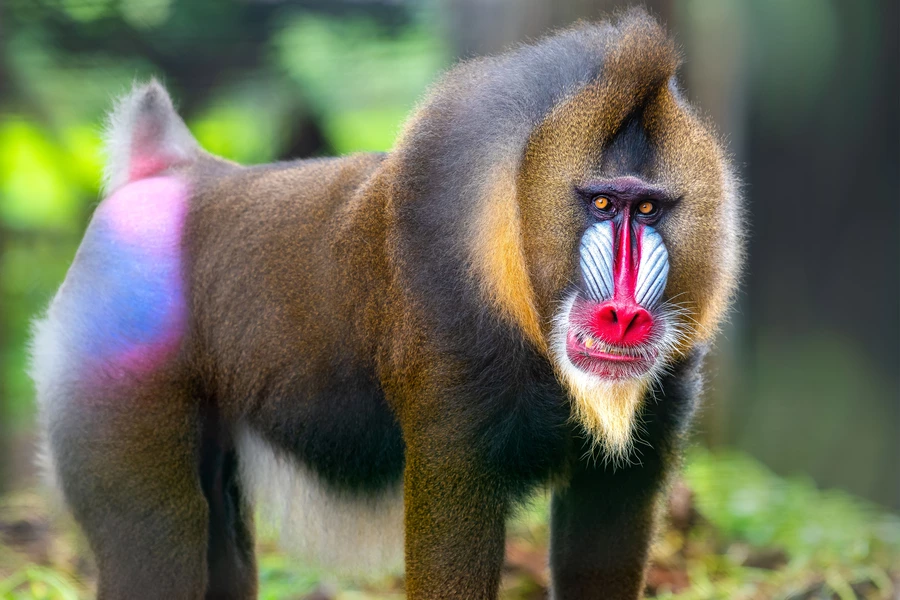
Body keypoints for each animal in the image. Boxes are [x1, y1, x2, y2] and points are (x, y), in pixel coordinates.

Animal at [29, 8, 742, 600]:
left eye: (646, 209)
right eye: (600, 203)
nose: (623, 314)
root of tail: (165, 172)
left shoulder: (638, 452)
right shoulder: (452, 430)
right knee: (158, 536)